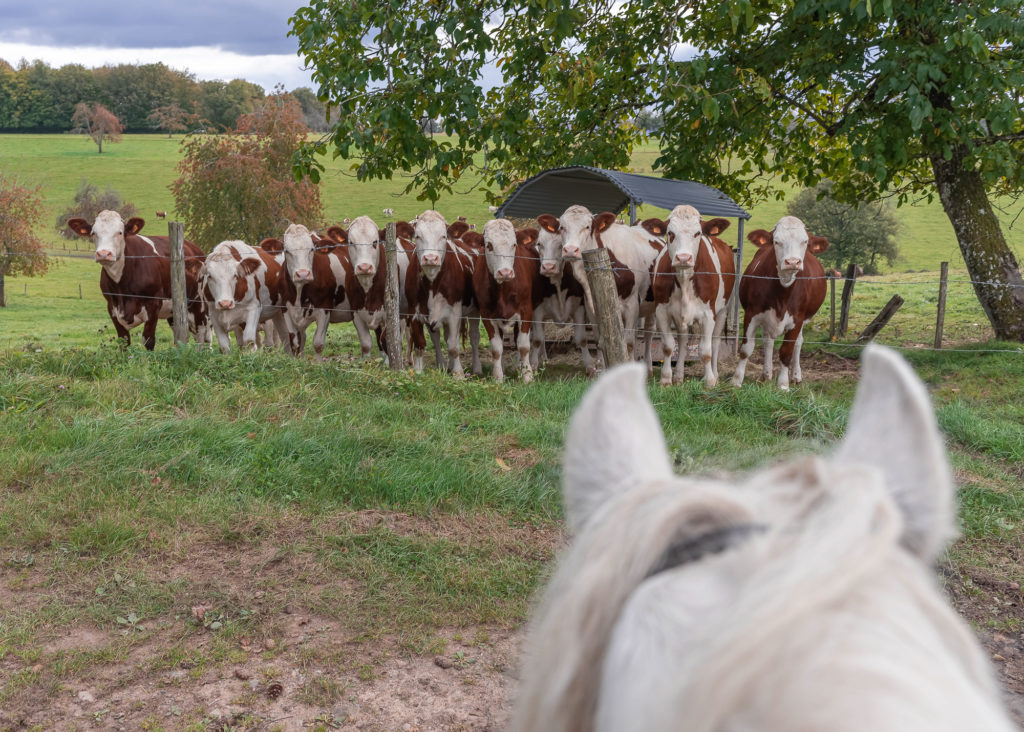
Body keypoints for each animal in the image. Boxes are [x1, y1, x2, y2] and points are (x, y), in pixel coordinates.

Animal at [65, 210, 207, 350]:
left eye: (120, 232)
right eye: (93, 233)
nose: (103, 254)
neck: (122, 287)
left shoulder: (153, 304)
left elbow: (148, 340)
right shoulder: (112, 307)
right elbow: (123, 341)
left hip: (199, 304)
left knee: (202, 336)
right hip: (173, 311)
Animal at [409, 207, 481, 374]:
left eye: (443, 236)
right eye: (417, 236)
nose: (430, 258)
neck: (432, 284)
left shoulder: (454, 312)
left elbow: (453, 346)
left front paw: (458, 373)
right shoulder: (415, 312)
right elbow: (420, 345)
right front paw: (418, 372)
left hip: (474, 311)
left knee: (474, 338)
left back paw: (476, 368)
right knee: (438, 338)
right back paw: (444, 365)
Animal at [464, 219, 544, 382]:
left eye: (514, 244)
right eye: (489, 245)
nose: (505, 272)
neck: (503, 290)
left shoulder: (526, 311)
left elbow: (524, 346)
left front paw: (527, 376)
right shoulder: (487, 314)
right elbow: (496, 348)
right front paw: (498, 377)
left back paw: (525, 366)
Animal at [638, 204, 737, 386]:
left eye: (698, 233)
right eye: (670, 233)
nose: (683, 258)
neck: (684, 281)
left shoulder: (708, 314)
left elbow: (705, 350)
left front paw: (709, 381)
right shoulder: (662, 311)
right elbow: (668, 346)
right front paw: (666, 378)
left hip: (723, 310)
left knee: (715, 342)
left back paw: (714, 374)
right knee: (683, 341)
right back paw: (678, 375)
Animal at [733, 216, 827, 393]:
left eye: (804, 241)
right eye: (776, 241)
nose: (792, 261)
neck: (782, 294)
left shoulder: (797, 319)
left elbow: (786, 352)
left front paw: (783, 384)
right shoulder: (751, 313)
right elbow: (746, 349)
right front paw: (736, 381)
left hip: (804, 320)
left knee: (798, 343)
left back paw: (796, 376)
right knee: (768, 341)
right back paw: (766, 374)